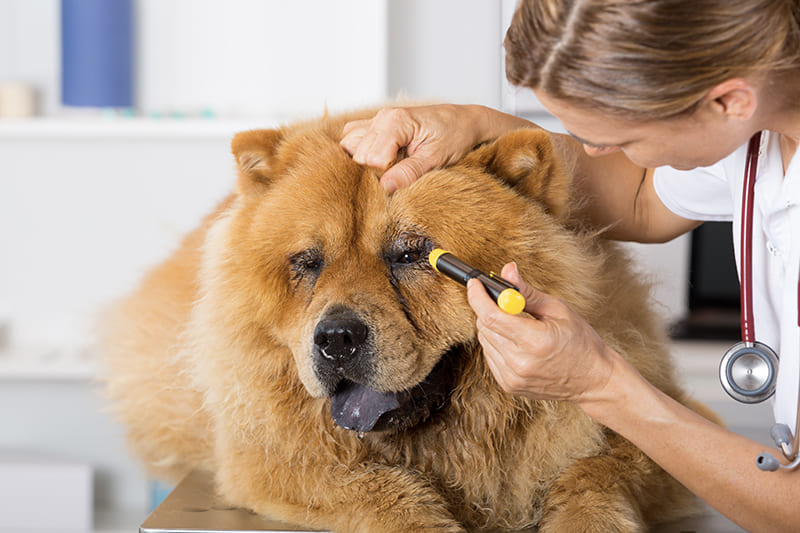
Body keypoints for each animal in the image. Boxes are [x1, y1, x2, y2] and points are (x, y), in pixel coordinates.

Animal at [101, 109, 712, 532]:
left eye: (412, 254)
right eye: (308, 262)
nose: (337, 337)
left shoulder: (651, 420)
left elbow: (595, 475)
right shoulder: (272, 457)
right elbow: (379, 488)